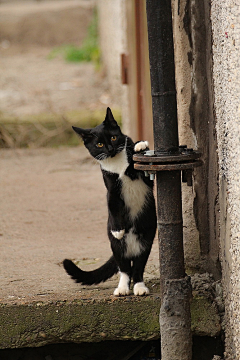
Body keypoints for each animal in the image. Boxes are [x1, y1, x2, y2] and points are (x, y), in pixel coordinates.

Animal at [63, 107, 158, 296]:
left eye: (113, 138)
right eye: (99, 144)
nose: (110, 148)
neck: (117, 163)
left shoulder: (146, 178)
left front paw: (140, 145)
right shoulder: (111, 190)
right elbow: (112, 206)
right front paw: (117, 230)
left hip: (147, 238)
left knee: (138, 267)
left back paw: (139, 287)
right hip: (117, 247)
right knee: (124, 268)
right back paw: (122, 288)